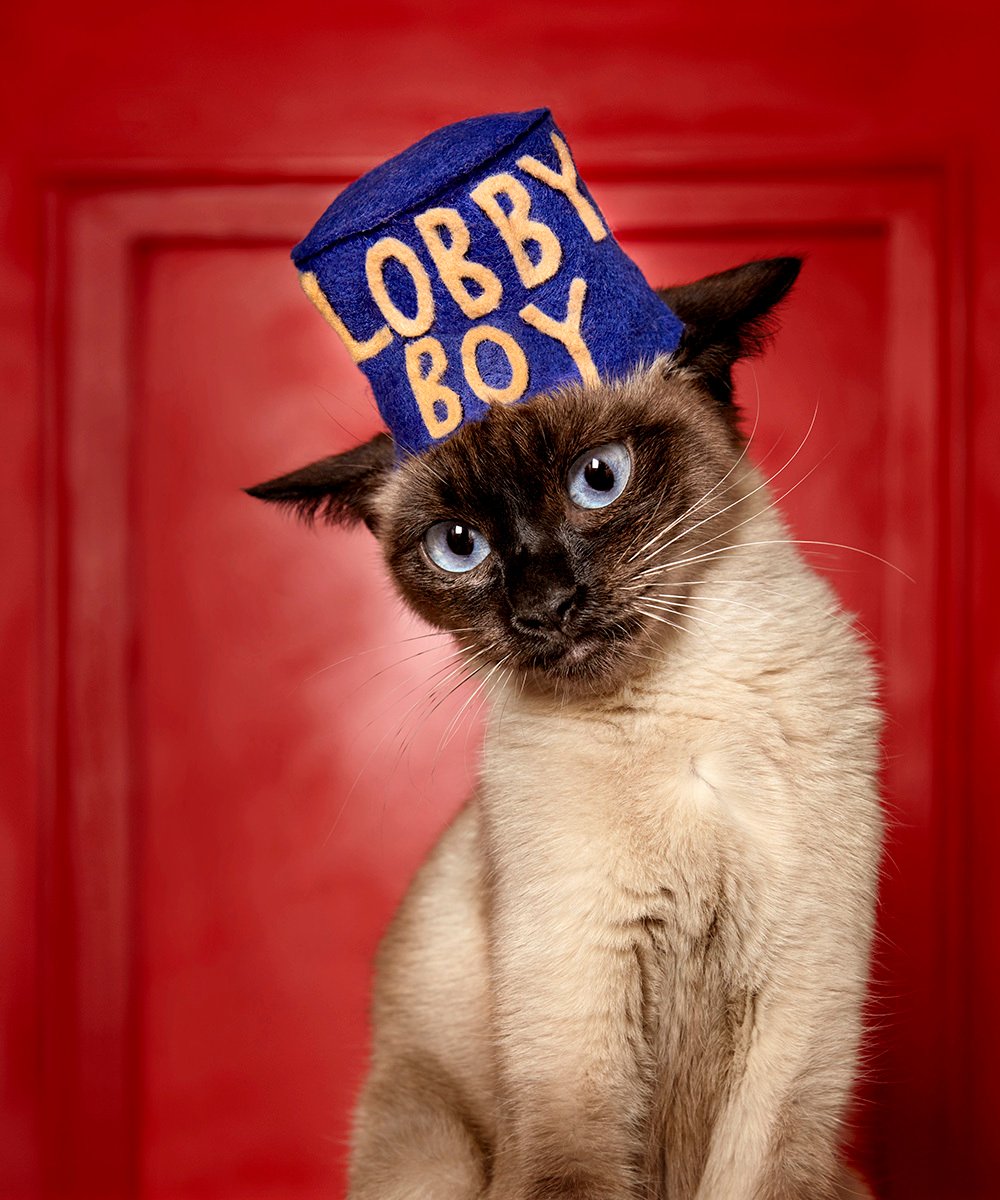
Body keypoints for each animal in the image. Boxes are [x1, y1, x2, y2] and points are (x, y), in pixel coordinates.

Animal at [249, 257, 883, 1200]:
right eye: (458, 545)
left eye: (598, 478)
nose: (544, 607)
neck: (670, 705)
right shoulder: (578, 1042)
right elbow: (573, 1166)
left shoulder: (795, 1017)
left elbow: (765, 1165)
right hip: (429, 1151)